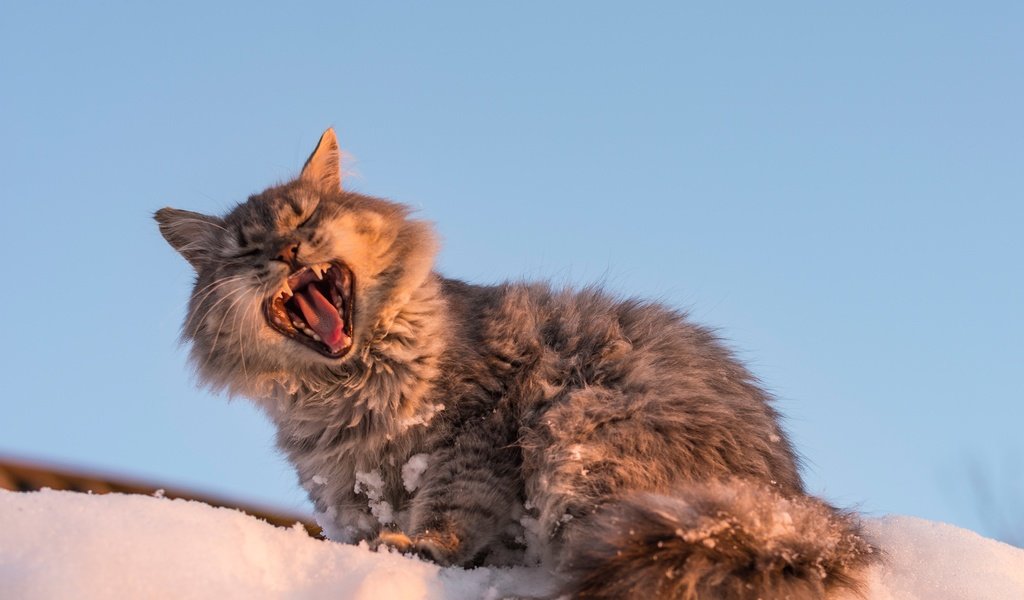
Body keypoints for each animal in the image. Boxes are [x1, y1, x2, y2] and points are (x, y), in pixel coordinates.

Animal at [155, 128, 876, 593]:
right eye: (246, 252)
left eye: (304, 218)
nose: (285, 252)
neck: (348, 385)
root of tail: (786, 508)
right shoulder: (344, 491)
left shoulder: (473, 431)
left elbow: (453, 513)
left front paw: (424, 546)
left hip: (581, 425)